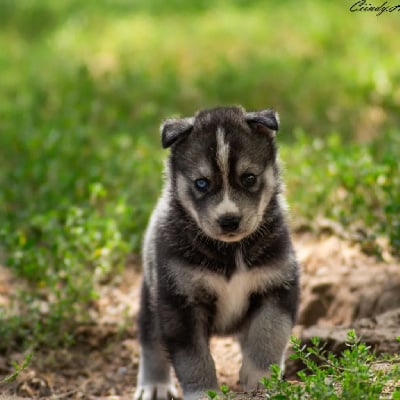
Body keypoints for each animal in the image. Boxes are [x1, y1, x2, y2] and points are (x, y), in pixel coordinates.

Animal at [136, 106, 298, 400]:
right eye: (201, 183)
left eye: (249, 178)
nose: (229, 220)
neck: (231, 251)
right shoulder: (180, 303)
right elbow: (193, 359)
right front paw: (203, 392)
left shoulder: (277, 285)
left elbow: (269, 335)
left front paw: (261, 377)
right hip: (151, 298)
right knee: (151, 342)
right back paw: (154, 384)